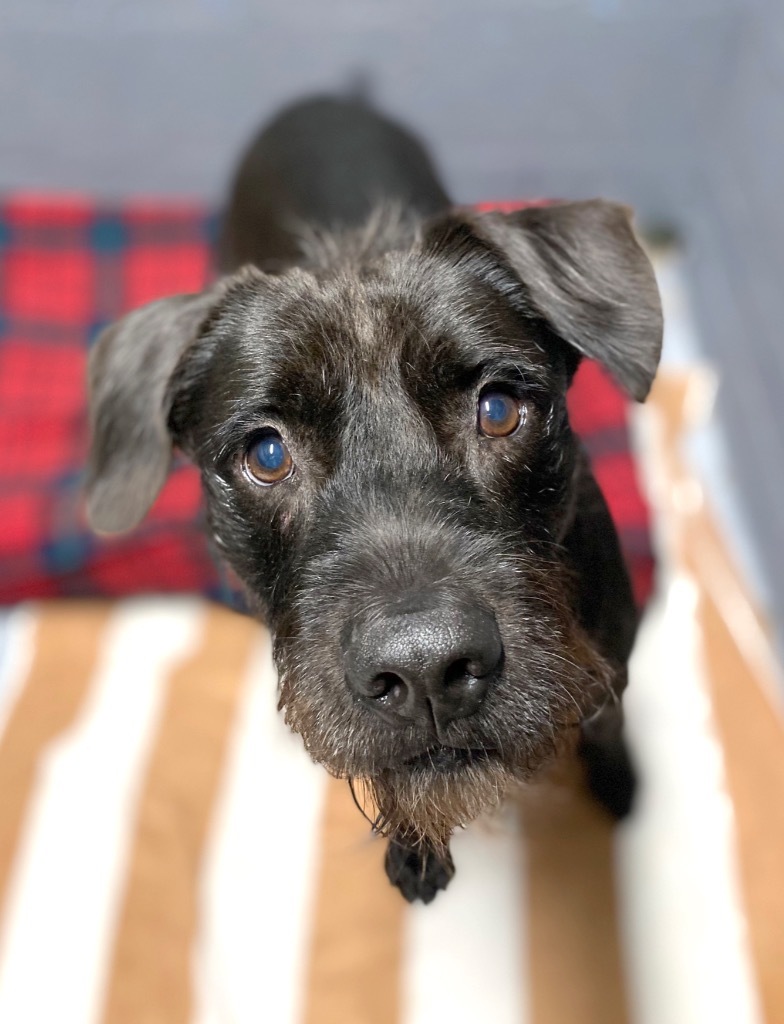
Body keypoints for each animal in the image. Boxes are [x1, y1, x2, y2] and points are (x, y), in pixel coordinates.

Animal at [85, 92, 663, 901]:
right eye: (266, 455)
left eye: (500, 409)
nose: (426, 671)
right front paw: (415, 855)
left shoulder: (611, 660)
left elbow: (607, 720)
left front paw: (618, 783)